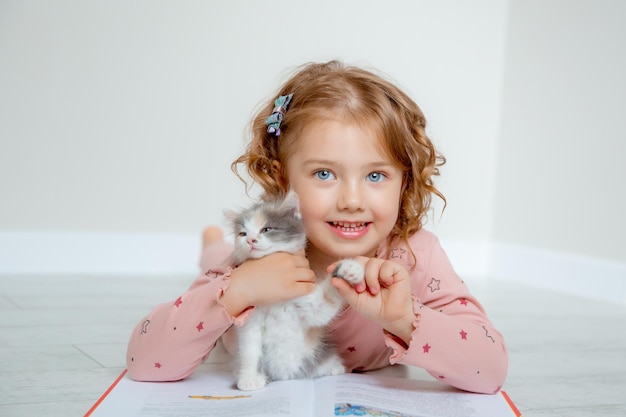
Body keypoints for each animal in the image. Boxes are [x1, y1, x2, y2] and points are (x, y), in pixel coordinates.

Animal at [225, 191, 364, 390]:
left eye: (266, 229)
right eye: (242, 234)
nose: (251, 240)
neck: (277, 299)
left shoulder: (310, 304)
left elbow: (326, 301)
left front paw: (350, 269)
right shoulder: (250, 322)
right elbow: (250, 351)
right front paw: (250, 379)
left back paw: (334, 367)